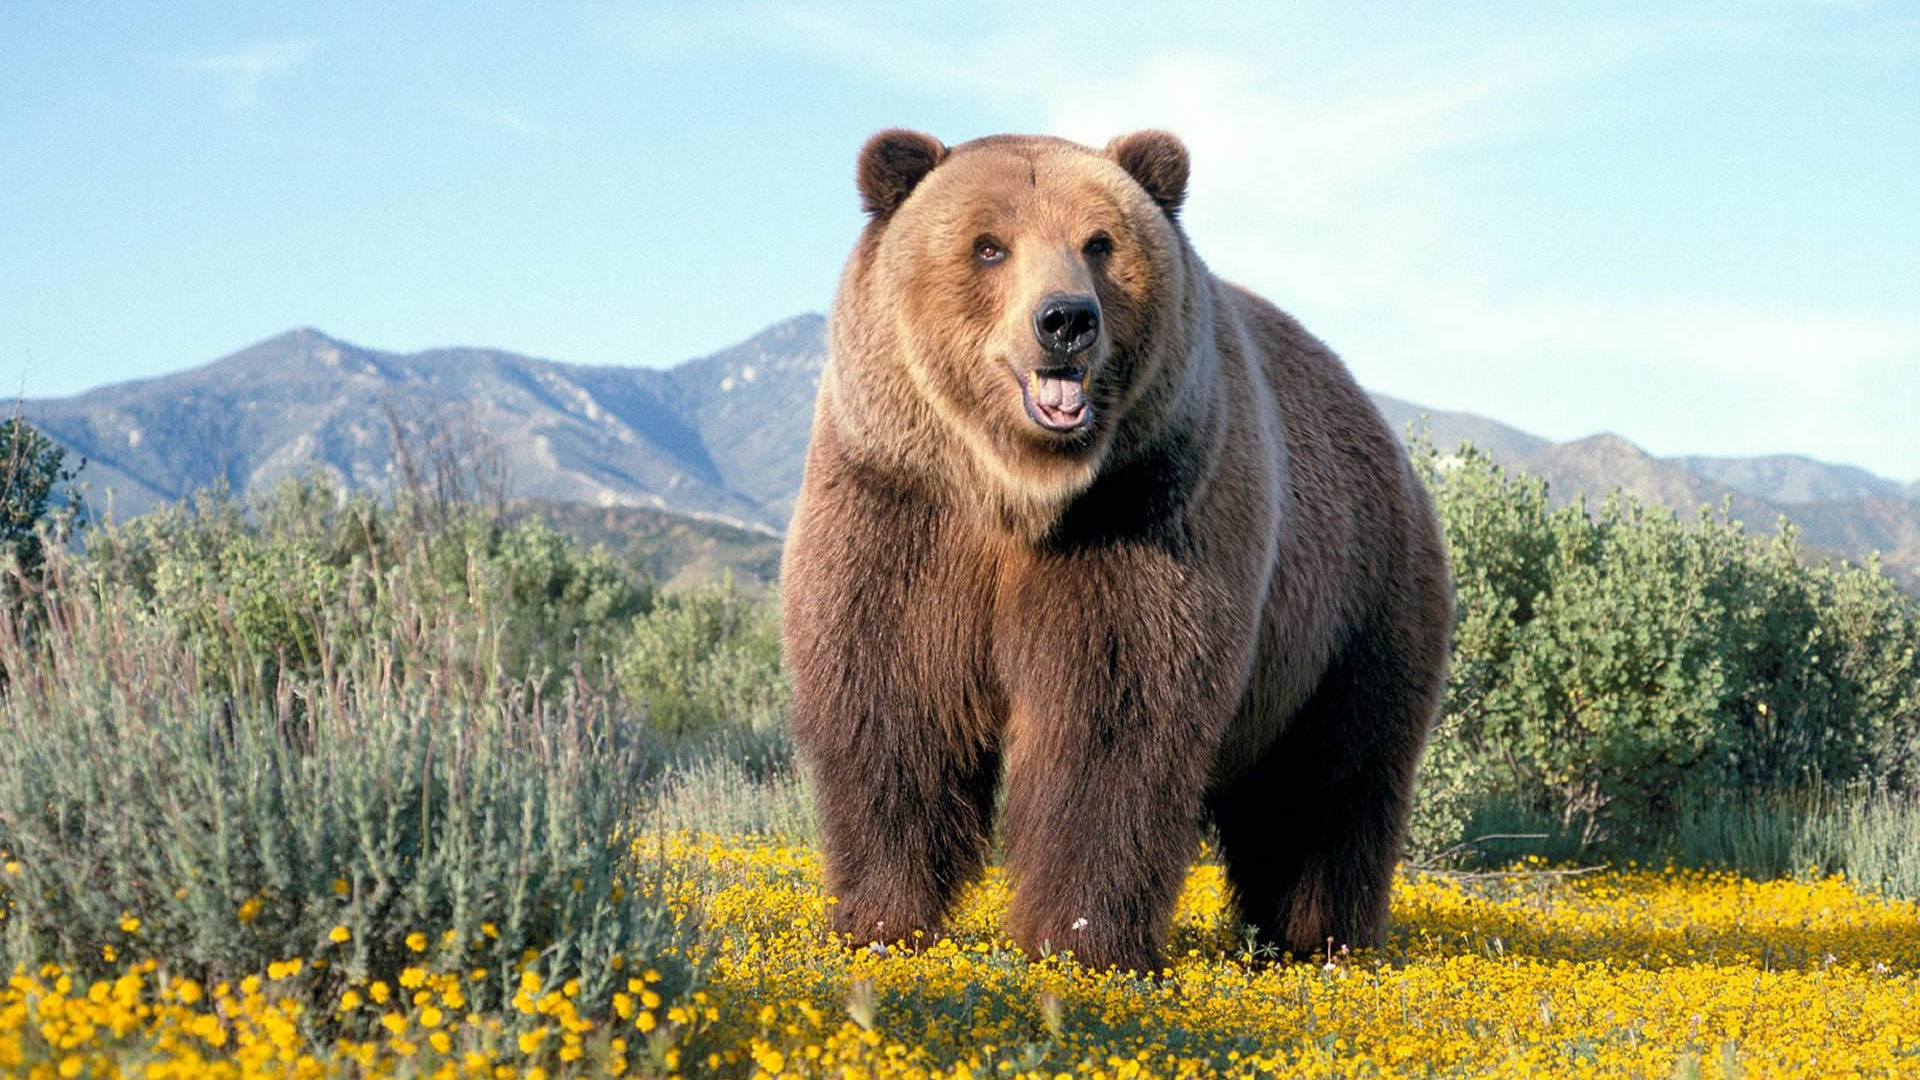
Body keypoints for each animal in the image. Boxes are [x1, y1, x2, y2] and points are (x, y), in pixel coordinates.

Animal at [779, 125, 1451, 968]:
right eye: (988, 245)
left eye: (1099, 242)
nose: (1065, 319)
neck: (1018, 492)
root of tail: (1386, 437)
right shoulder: (901, 507)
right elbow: (893, 703)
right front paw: (879, 920)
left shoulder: (1143, 514)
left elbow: (1112, 721)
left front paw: (1081, 940)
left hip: (1353, 606)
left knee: (1330, 784)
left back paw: (1319, 938)